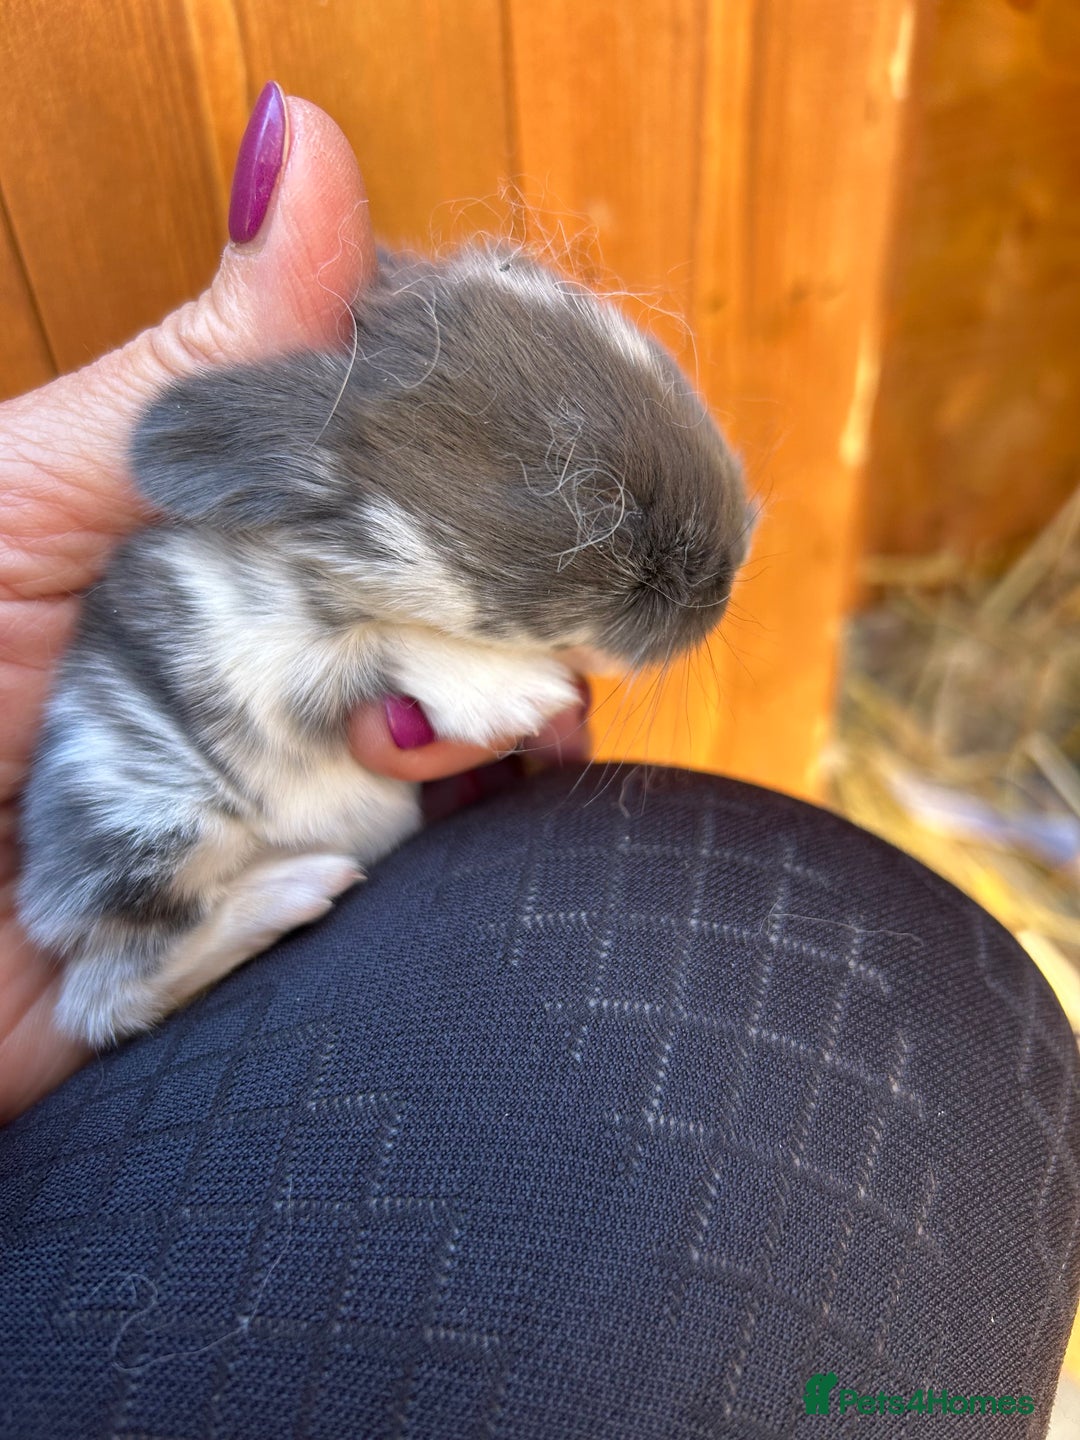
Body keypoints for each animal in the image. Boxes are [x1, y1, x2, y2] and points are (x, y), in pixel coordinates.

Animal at [17, 242, 751, 1048]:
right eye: (596, 498)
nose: (733, 565)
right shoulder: (260, 646)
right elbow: (380, 640)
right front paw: (523, 694)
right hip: (151, 814)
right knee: (101, 996)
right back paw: (300, 888)